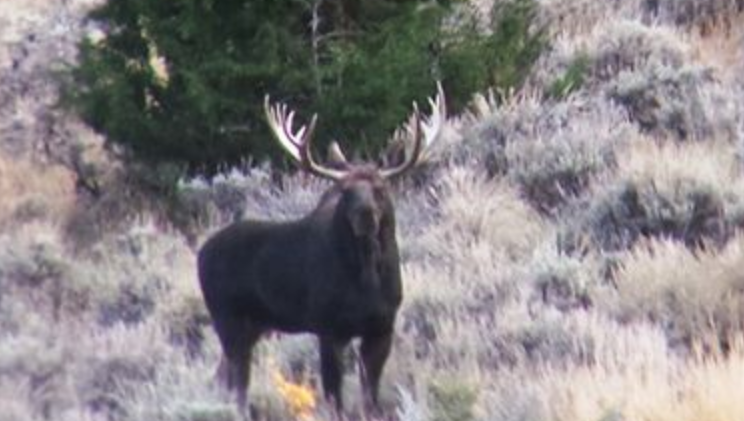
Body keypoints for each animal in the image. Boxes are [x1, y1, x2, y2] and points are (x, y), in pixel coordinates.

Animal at [197, 83, 445, 415]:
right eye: (345, 190)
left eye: (380, 189)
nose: (365, 215)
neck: (366, 279)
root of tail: (200, 254)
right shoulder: (329, 327)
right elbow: (334, 398)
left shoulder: (382, 327)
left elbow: (370, 397)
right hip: (226, 317)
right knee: (236, 384)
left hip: (251, 326)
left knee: (222, 376)